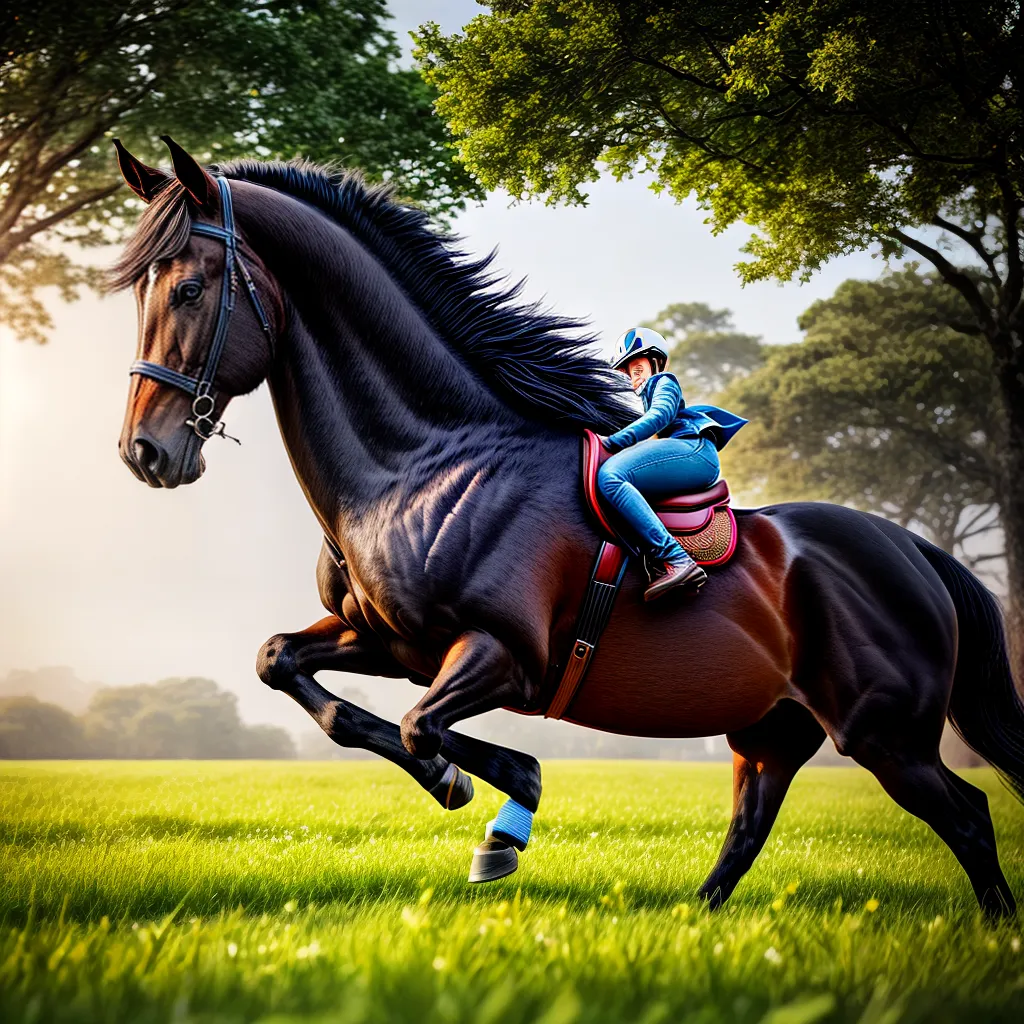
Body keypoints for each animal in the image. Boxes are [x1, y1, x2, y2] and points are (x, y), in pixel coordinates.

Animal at [110, 137, 1024, 916]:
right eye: (144, 291)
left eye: (188, 289)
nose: (144, 451)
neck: (429, 462)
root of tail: (916, 553)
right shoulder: (390, 641)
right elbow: (293, 674)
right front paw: (453, 784)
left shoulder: (499, 656)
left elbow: (426, 728)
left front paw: (500, 807)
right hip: (774, 732)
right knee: (750, 828)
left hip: (886, 734)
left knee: (969, 814)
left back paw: (993, 930)